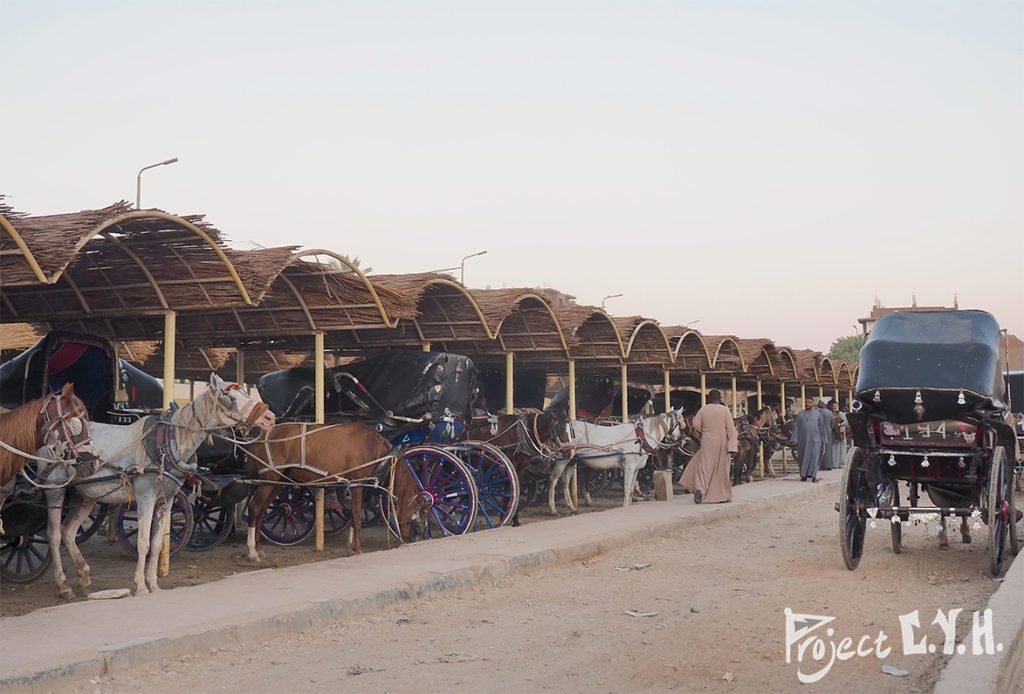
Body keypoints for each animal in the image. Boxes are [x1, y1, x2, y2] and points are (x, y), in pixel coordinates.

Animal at [41, 374, 274, 597]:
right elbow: (143, 542)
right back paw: (63, 585)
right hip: (55, 490)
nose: (269, 417)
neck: (168, 444)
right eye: (230, 397)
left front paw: (153, 584)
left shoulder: (167, 500)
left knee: (68, 532)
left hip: (86, 495)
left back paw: (83, 577)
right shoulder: (146, 497)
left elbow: (157, 543)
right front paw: (140, 586)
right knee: (54, 535)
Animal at [243, 421, 395, 560]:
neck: (372, 446)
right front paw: (357, 548)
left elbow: (353, 514)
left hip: (276, 483)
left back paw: (259, 548)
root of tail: (260, 438)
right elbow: (357, 517)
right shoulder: (357, 484)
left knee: (262, 510)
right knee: (254, 508)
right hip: (268, 482)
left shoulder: (355, 486)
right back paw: (252, 550)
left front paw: (352, 546)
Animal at [548, 407, 684, 515]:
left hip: (571, 460)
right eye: (680, 424)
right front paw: (624, 507)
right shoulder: (629, 468)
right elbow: (627, 490)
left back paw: (572, 507)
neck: (640, 437)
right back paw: (553, 509)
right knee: (553, 479)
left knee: (565, 481)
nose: (683, 440)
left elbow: (631, 491)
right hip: (562, 459)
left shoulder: (635, 470)